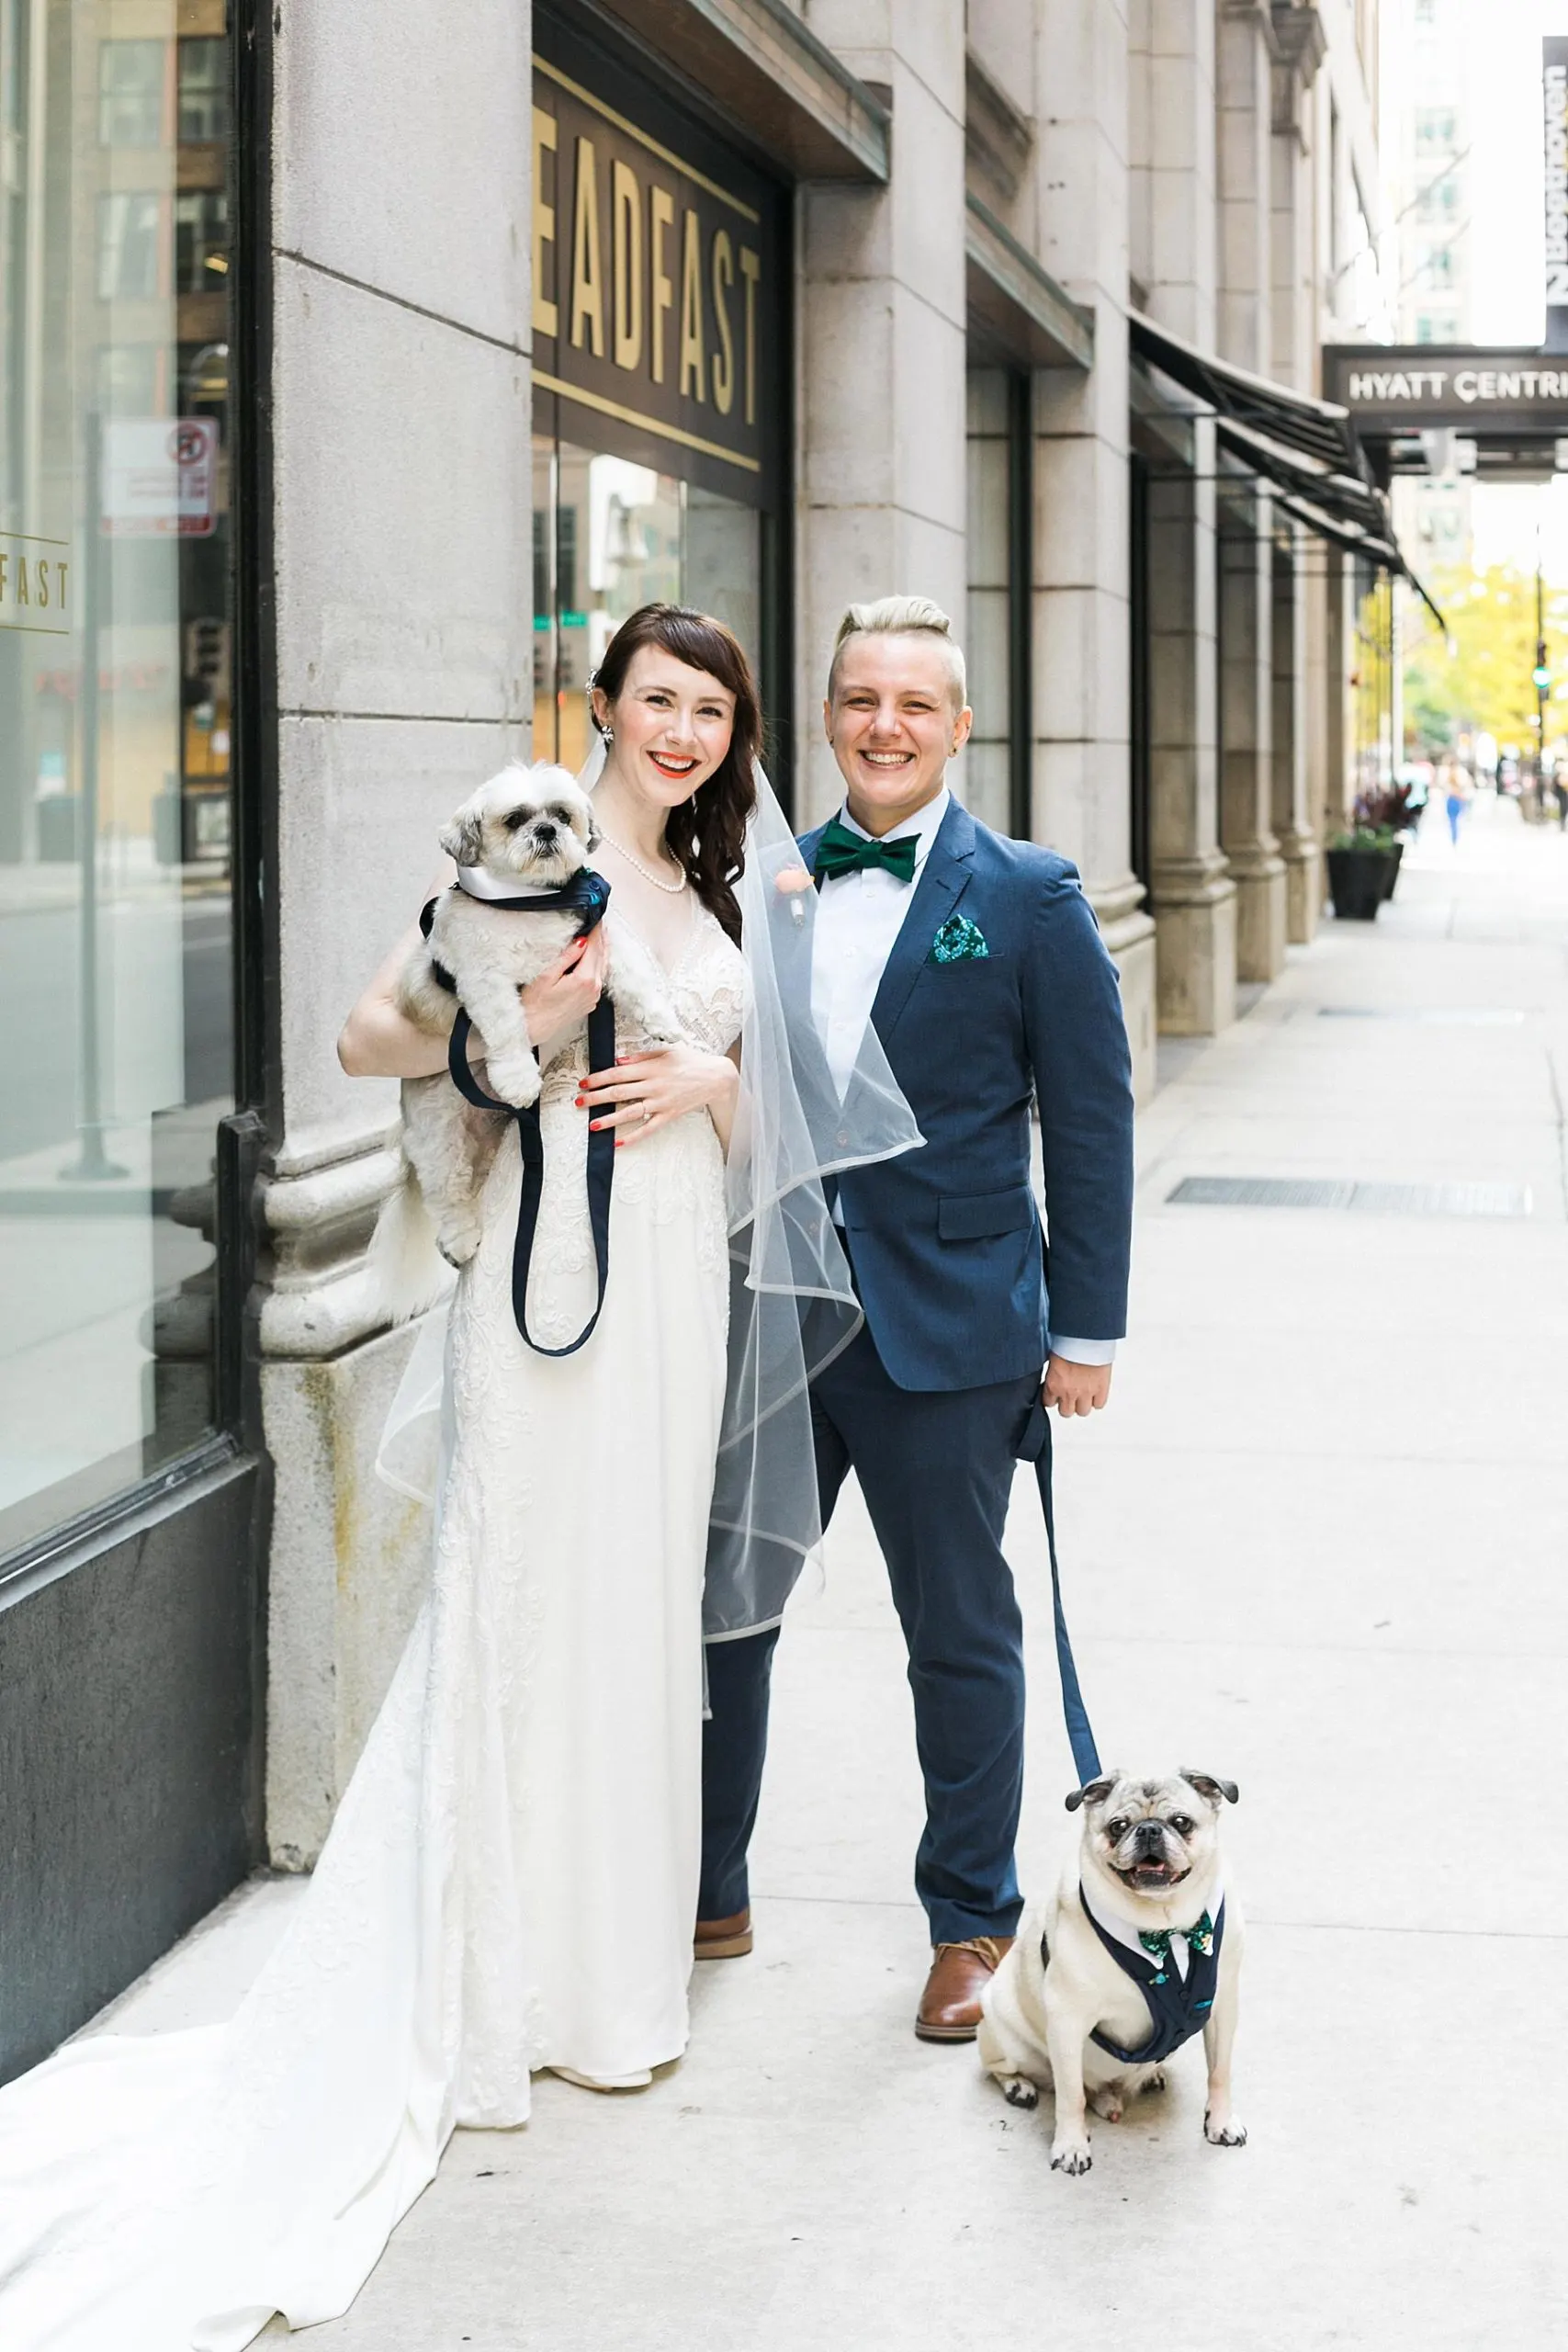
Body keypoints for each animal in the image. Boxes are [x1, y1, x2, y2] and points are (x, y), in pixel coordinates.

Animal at [373, 757, 686, 1326]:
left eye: (561, 815)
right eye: (515, 818)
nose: (545, 831)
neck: (533, 902)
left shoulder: (603, 946)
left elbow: (638, 978)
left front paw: (663, 1020)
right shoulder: (485, 980)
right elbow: (506, 1026)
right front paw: (519, 1078)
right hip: (438, 1133)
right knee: (446, 1192)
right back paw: (461, 1239)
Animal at [973, 1769, 1241, 2173]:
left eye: (1181, 1823)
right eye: (1119, 1826)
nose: (1149, 1829)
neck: (1164, 1926)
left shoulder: (1222, 2009)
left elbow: (1220, 2073)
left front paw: (1221, 2122)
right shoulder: (1068, 2022)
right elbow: (1070, 2097)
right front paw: (1070, 2145)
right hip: (1003, 2029)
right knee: (1012, 2070)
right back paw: (1020, 2086)